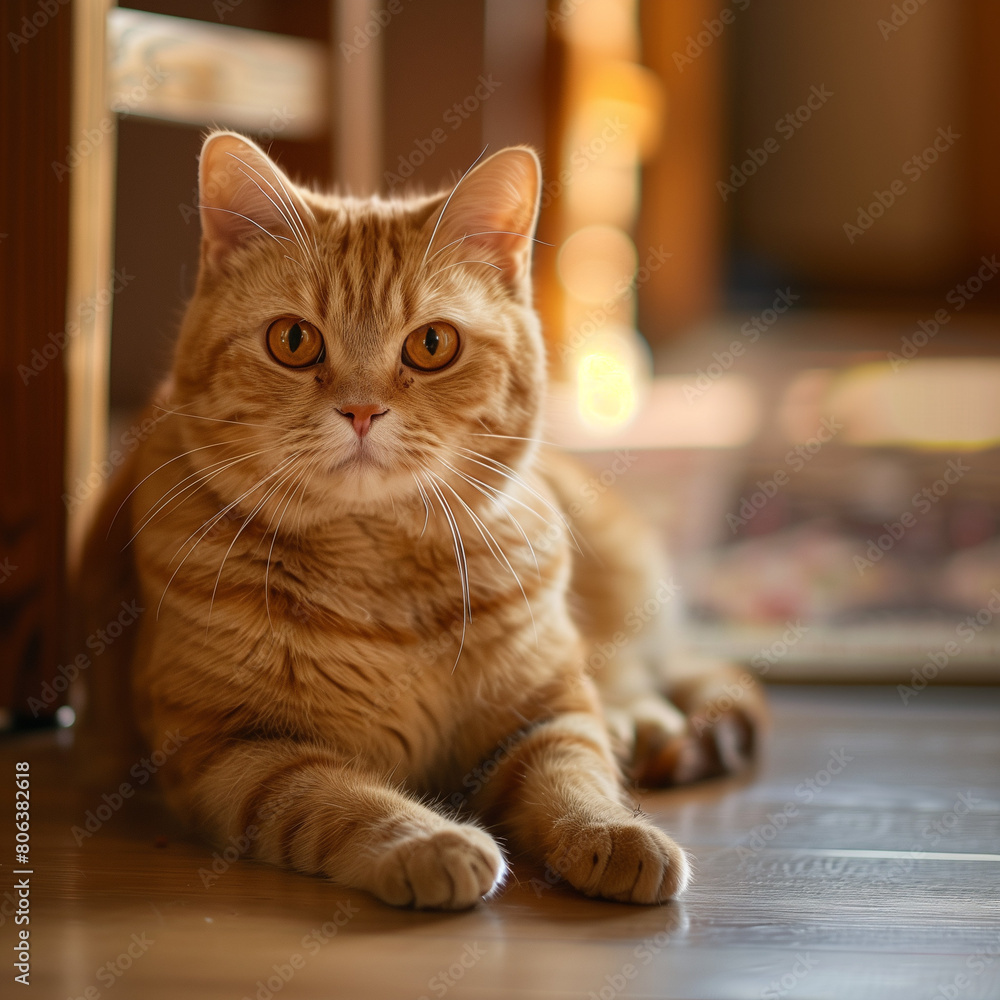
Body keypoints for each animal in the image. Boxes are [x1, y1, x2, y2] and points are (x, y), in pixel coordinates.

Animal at [76, 135, 764, 916]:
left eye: (432, 344)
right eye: (293, 340)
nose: (361, 410)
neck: (381, 573)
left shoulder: (543, 712)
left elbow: (574, 772)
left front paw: (614, 830)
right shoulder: (233, 750)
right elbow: (337, 796)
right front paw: (429, 842)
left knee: (636, 679)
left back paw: (639, 726)